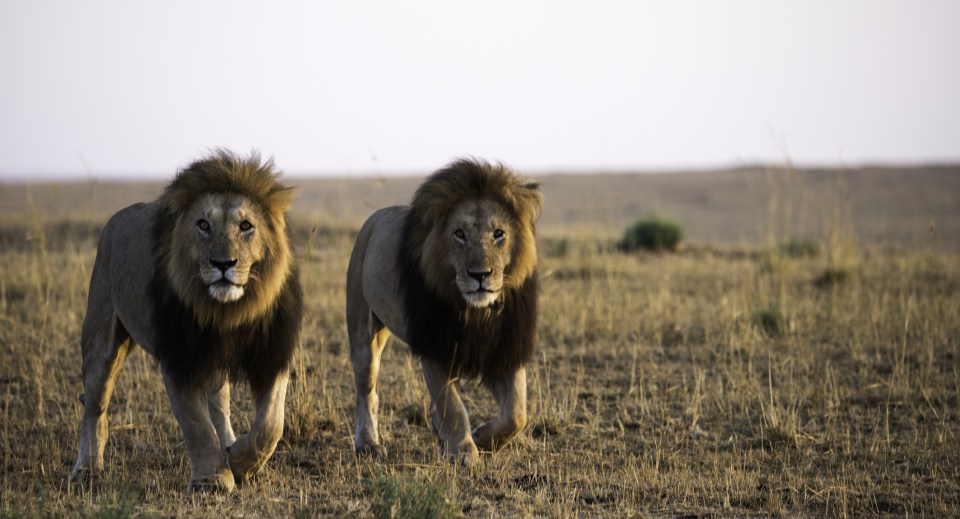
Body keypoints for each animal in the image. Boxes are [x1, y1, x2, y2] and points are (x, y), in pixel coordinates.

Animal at [70, 149, 302, 492]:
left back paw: (229, 443)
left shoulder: (272, 352)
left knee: (220, 403)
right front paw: (212, 480)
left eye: (246, 225)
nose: (223, 263)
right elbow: (196, 424)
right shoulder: (180, 358)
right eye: (203, 224)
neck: (227, 313)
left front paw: (240, 463)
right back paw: (86, 469)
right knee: (95, 405)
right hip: (101, 336)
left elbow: (270, 425)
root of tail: (117, 217)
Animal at [344, 157, 540, 464]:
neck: (475, 313)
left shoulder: (504, 346)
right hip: (363, 332)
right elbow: (452, 406)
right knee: (367, 391)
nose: (480, 275)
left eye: (499, 234)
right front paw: (463, 451)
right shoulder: (435, 348)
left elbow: (517, 414)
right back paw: (368, 444)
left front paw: (482, 438)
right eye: (459, 234)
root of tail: (374, 218)